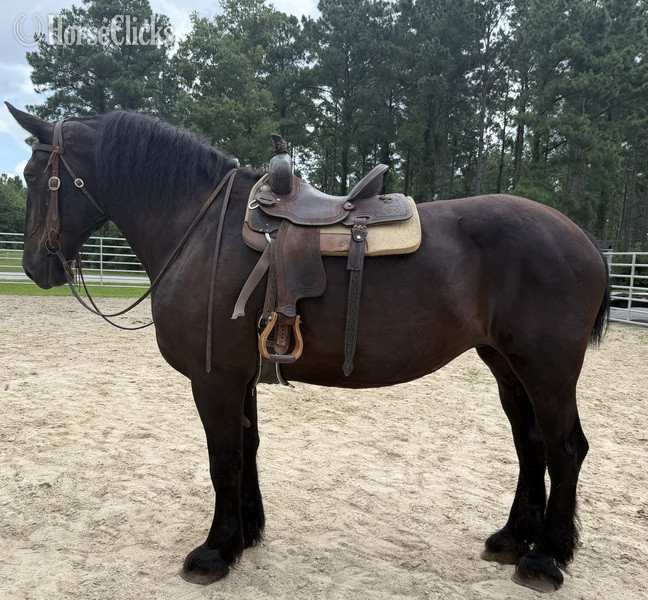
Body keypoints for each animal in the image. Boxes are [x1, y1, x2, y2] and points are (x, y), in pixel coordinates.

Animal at [6, 103, 610, 592]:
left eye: (34, 175)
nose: (35, 265)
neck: (199, 228)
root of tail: (584, 240)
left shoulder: (213, 379)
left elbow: (223, 457)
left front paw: (214, 552)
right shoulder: (241, 376)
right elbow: (247, 448)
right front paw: (246, 534)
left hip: (548, 370)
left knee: (565, 449)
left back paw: (546, 559)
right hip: (508, 367)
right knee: (530, 444)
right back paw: (512, 539)